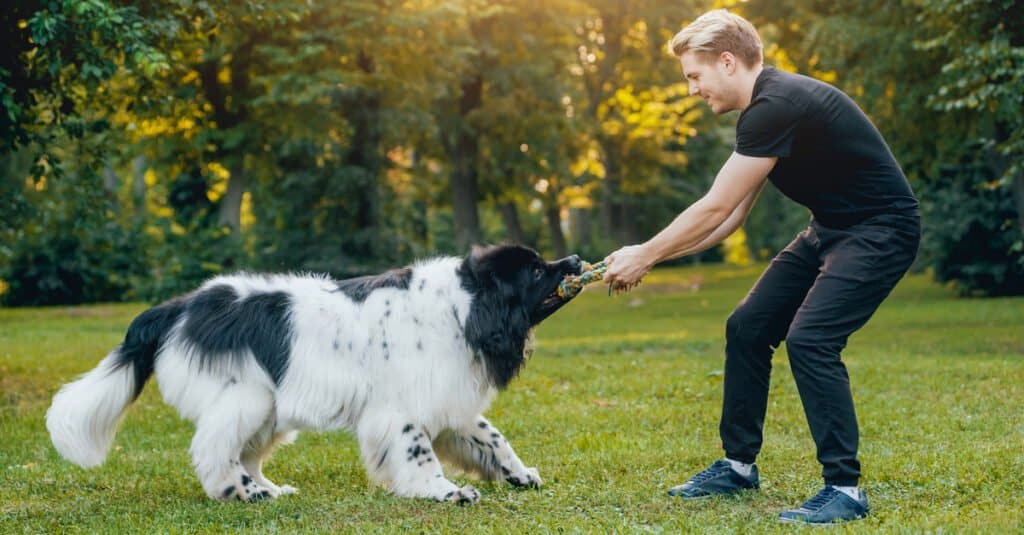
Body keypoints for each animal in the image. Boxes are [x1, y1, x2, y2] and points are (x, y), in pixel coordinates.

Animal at [46, 243, 585, 502]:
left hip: (267, 409)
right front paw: (445, 493)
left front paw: (519, 474)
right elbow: (419, 456)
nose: (578, 259)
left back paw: (268, 490)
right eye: (537, 271)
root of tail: (183, 307)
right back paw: (242, 494)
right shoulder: (400, 409)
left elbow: (491, 438)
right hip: (249, 397)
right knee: (214, 452)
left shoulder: (444, 397)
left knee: (245, 454)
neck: (464, 307)